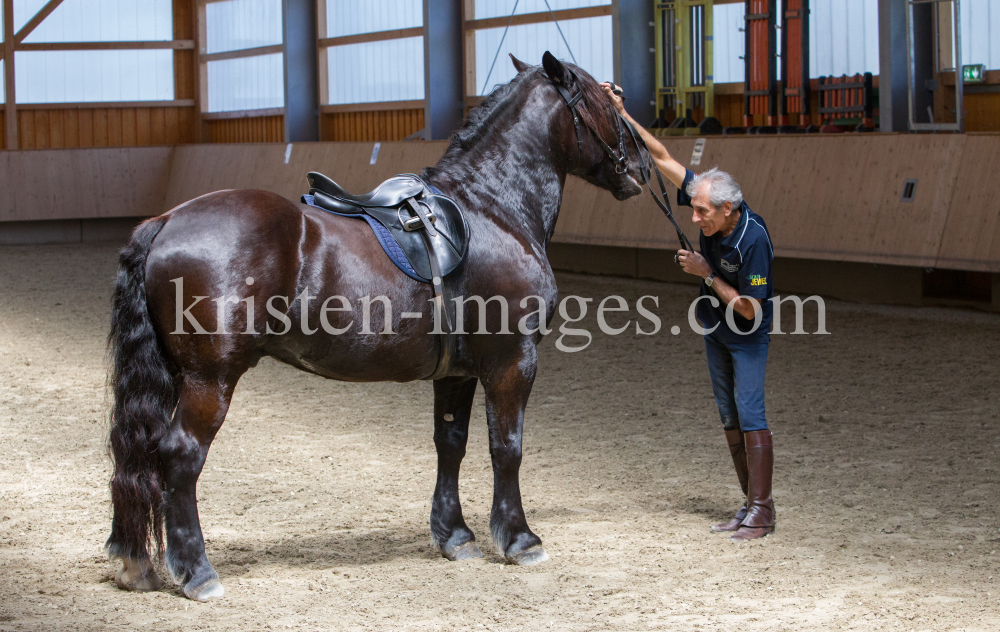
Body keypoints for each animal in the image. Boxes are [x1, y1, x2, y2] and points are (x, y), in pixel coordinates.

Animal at [105, 51, 644, 600]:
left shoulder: (458, 372)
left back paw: (138, 562)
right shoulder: (512, 360)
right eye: (610, 101)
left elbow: (451, 444)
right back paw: (198, 571)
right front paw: (519, 539)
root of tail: (167, 220)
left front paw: (454, 535)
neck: (491, 209)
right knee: (180, 456)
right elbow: (507, 447)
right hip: (210, 379)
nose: (642, 161)